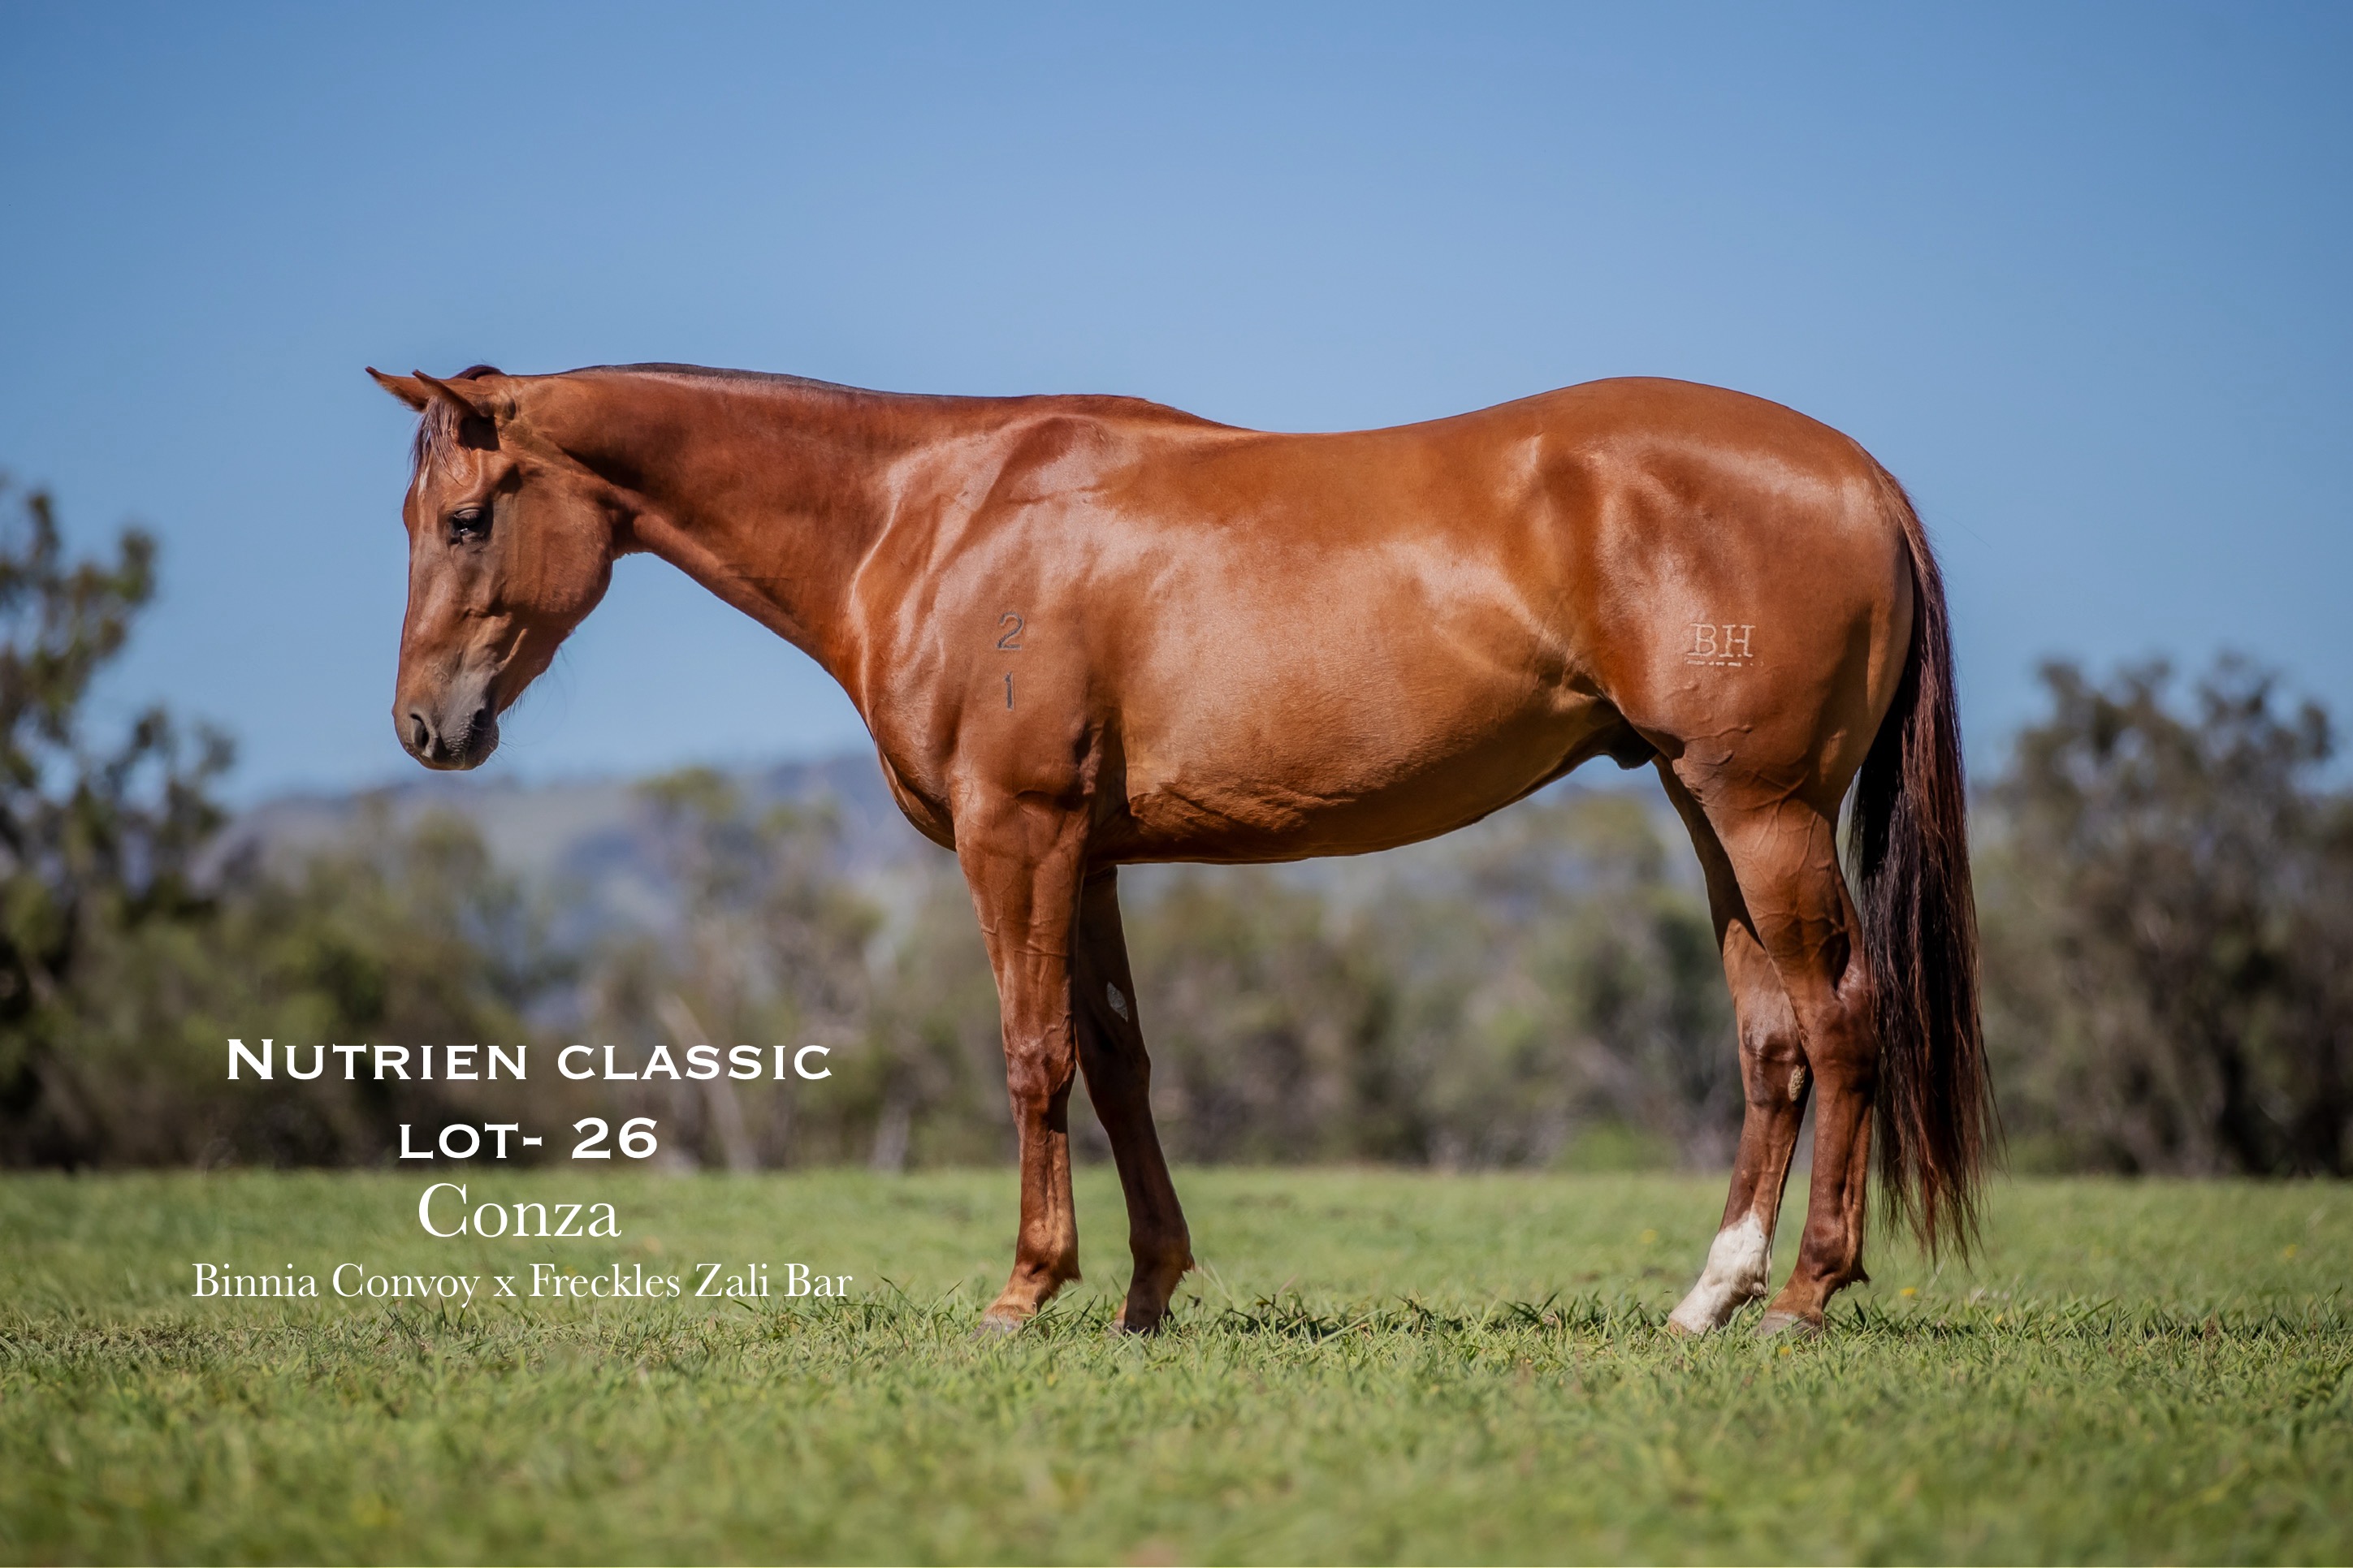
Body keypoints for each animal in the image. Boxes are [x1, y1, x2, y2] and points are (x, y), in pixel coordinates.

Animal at [368, 361, 1987, 1337]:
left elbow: (1032, 1057)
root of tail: (1856, 472)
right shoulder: (1085, 856)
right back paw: (1709, 1298)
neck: (933, 515)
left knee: (1844, 1022)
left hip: (1762, 810)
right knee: (1771, 1040)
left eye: (466, 518)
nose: (427, 727)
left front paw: (1025, 1292)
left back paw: (1805, 1299)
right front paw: (1146, 1295)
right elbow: (1119, 1060)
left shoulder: (1014, 837)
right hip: (1710, 811)